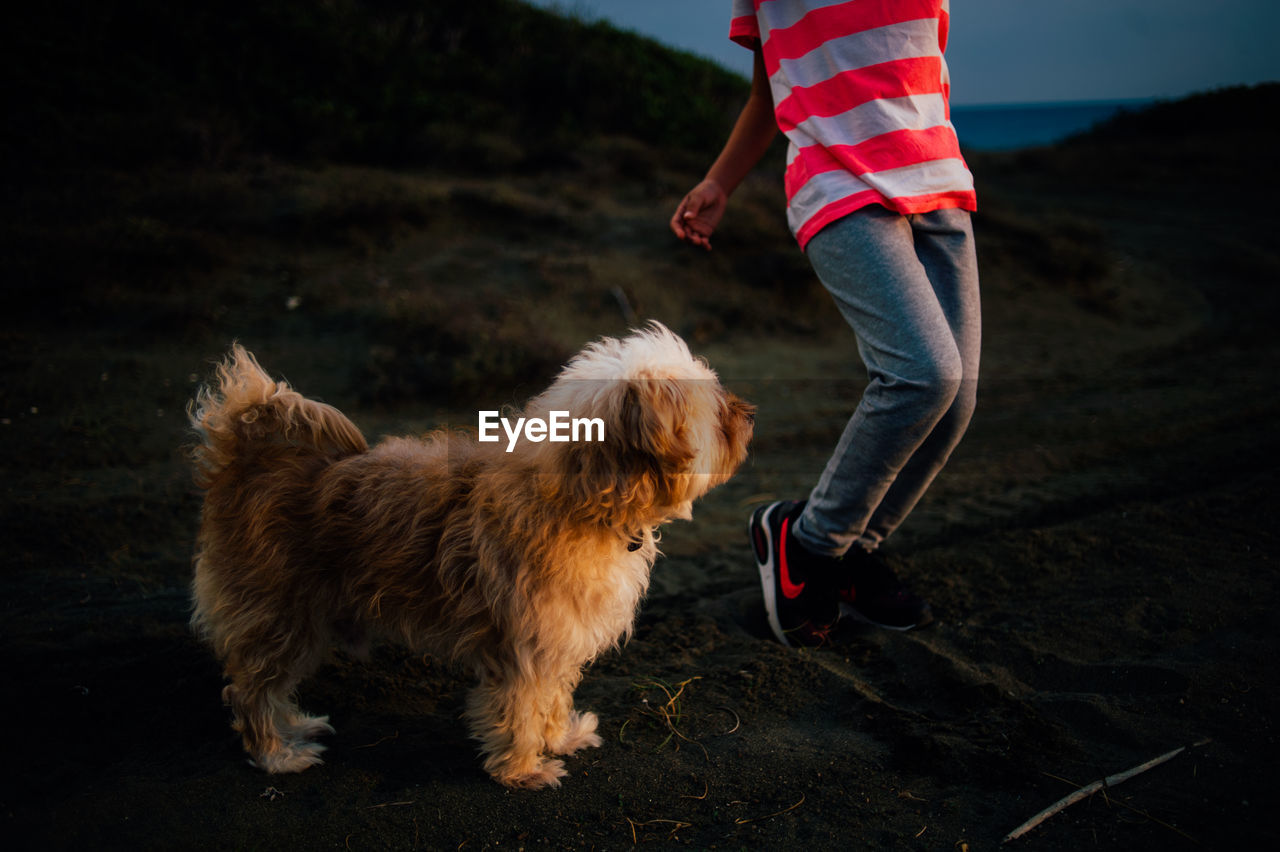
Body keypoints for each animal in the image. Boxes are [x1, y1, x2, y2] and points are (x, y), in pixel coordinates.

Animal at [186, 322, 747, 788]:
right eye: (717, 413)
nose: (747, 412)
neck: (579, 496)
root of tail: (243, 451)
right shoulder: (524, 647)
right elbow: (522, 709)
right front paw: (522, 770)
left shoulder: (557, 641)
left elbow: (552, 698)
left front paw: (560, 738)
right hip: (281, 616)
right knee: (251, 692)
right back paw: (277, 754)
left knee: (266, 688)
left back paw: (296, 726)